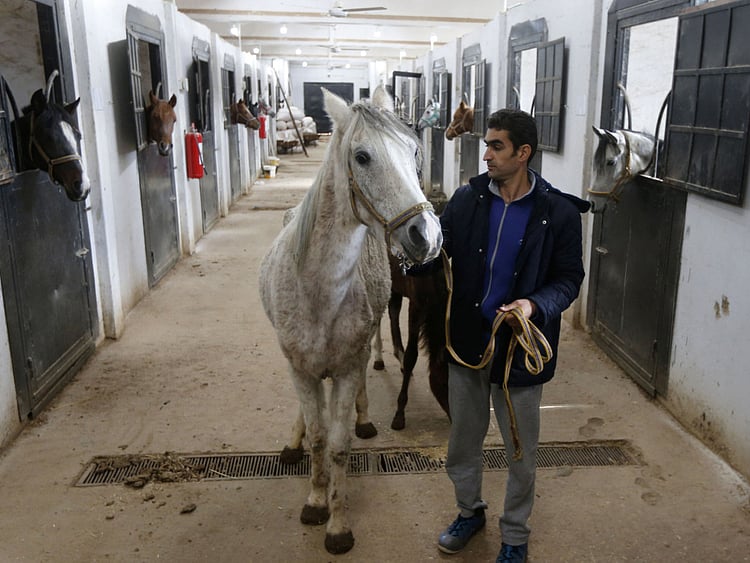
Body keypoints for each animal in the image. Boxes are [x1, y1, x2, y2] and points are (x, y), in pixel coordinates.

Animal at [259, 85, 442, 554]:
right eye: (361, 157)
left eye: (414, 150)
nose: (427, 235)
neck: (318, 293)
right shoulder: (300, 368)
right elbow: (319, 437)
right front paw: (314, 500)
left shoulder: (343, 367)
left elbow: (338, 445)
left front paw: (337, 524)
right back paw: (294, 440)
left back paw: (363, 418)